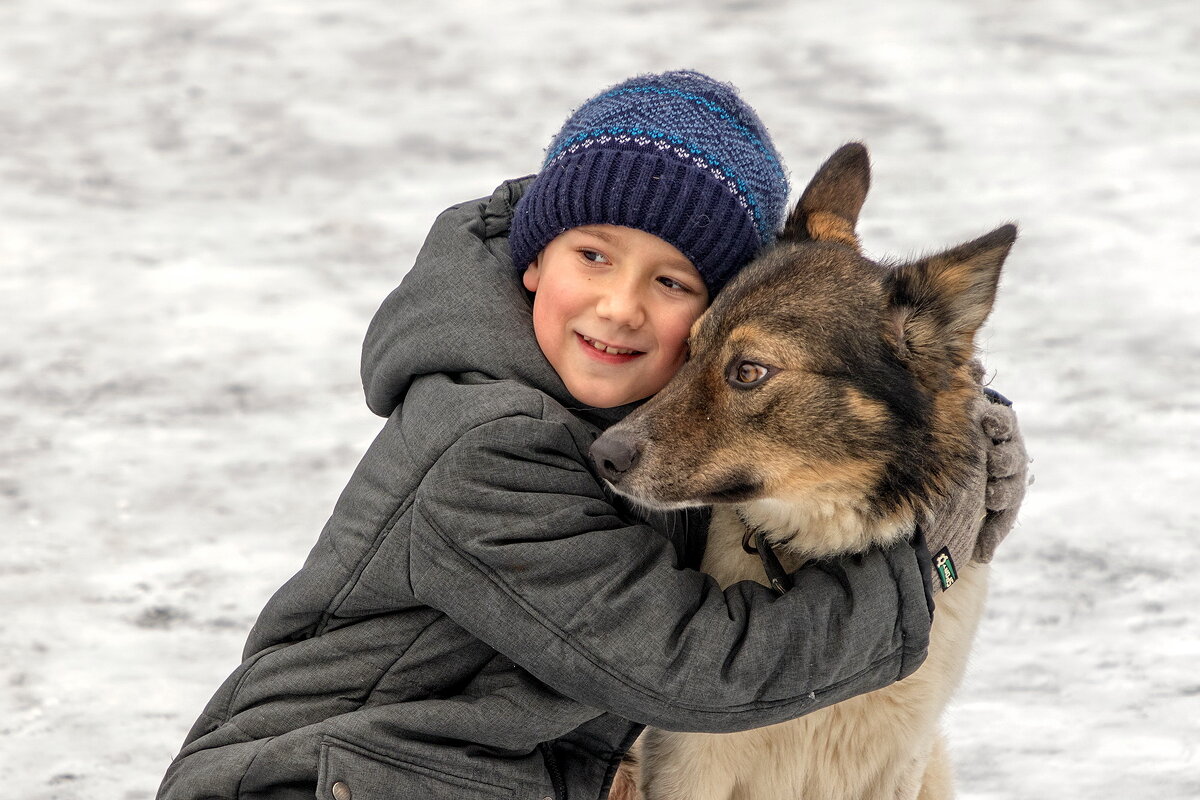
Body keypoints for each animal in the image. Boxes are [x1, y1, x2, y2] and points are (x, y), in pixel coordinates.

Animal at [590, 145, 1012, 800]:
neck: (819, 556)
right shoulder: (687, 760)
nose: (604, 455)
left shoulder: (896, 764)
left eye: (749, 371)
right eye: (689, 349)